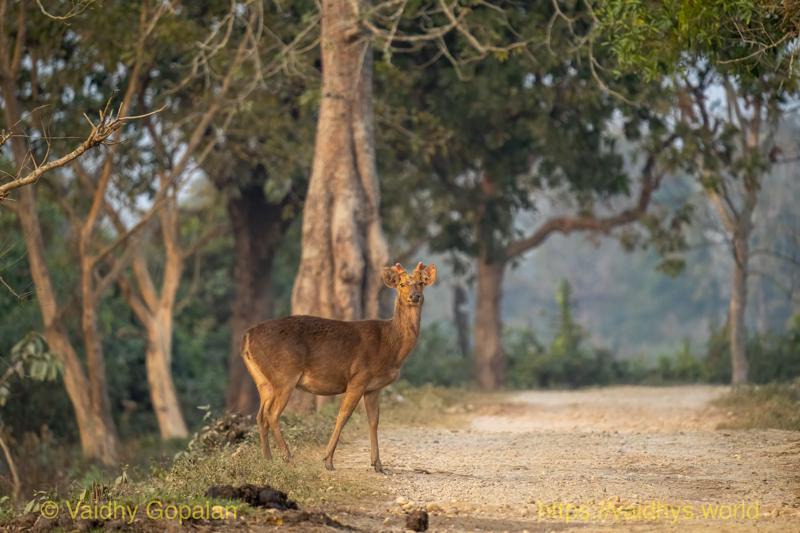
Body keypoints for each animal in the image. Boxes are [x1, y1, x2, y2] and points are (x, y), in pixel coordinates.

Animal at [241, 261, 437, 473]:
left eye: (421, 283)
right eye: (402, 284)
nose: (415, 296)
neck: (390, 345)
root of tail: (247, 337)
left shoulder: (373, 387)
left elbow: (374, 421)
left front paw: (377, 464)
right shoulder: (359, 377)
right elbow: (343, 415)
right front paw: (328, 460)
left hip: (263, 381)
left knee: (260, 416)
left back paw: (267, 459)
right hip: (284, 375)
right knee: (272, 414)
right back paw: (287, 457)